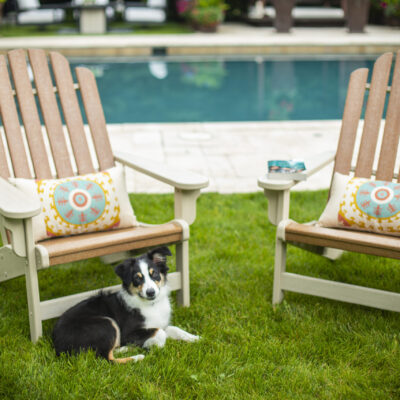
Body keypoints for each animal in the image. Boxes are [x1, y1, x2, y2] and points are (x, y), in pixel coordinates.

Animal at [52, 245, 199, 364]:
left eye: (154, 274)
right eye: (137, 278)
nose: (150, 292)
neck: (151, 304)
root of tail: (57, 343)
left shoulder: (160, 323)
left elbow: (173, 328)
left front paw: (195, 338)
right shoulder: (128, 333)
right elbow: (160, 332)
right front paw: (153, 345)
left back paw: (127, 348)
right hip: (106, 323)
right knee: (105, 358)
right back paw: (136, 356)